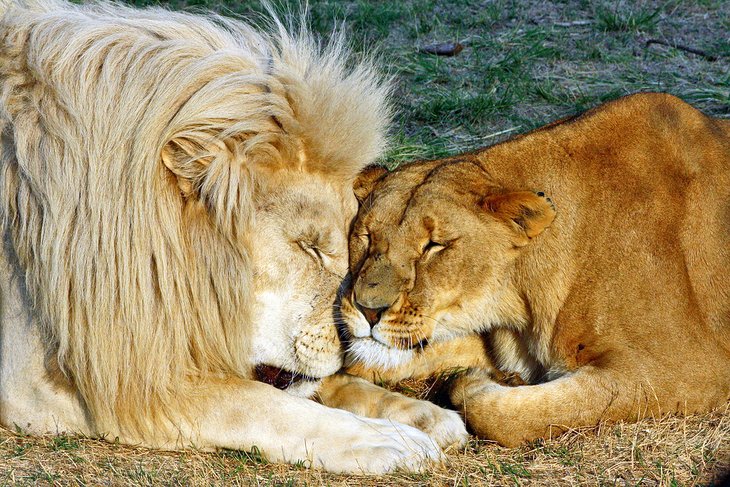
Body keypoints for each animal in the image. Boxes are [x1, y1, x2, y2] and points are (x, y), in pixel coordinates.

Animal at [0, 0, 464, 472]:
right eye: (310, 247)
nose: (359, 335)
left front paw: (421, 415)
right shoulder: (52, 379)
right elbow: (255, 403)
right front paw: (386, 440)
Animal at [338, 93, 728, 448]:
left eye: (434, 246)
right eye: (366, 235)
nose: (368, 310)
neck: (520, 305)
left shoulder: (684, 369)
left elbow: (503, 414)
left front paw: (481, 383)